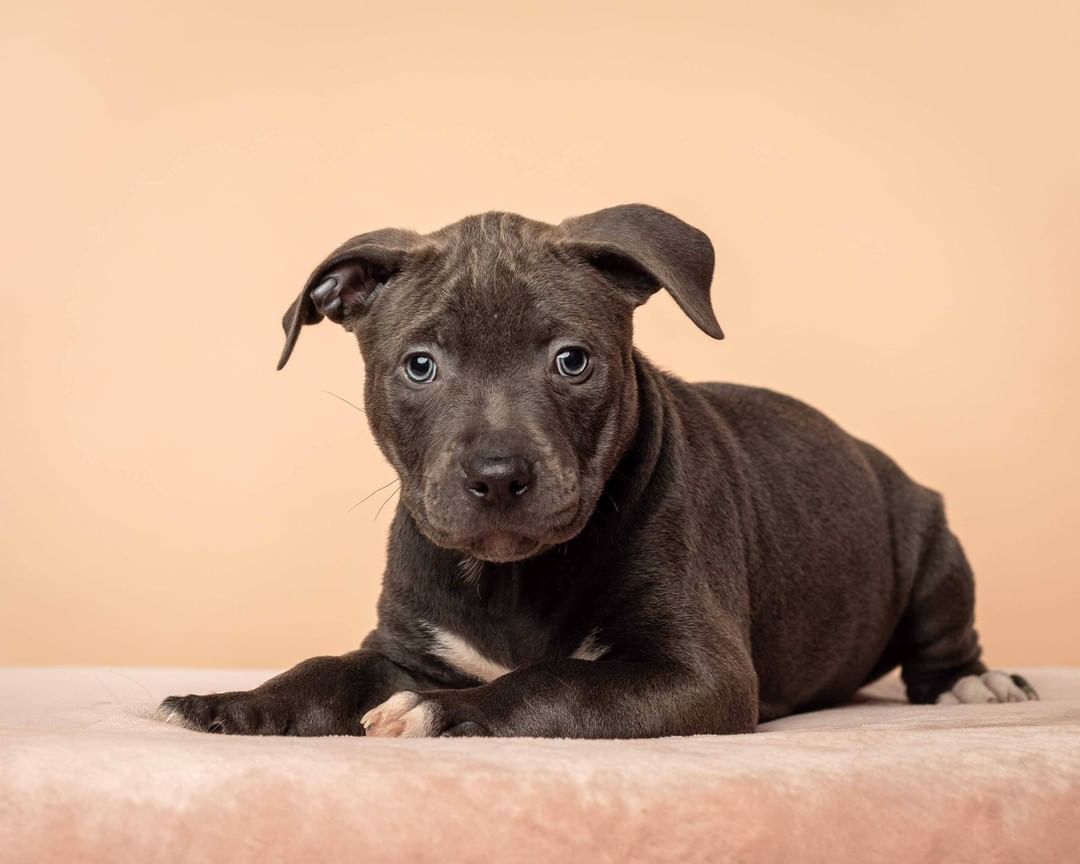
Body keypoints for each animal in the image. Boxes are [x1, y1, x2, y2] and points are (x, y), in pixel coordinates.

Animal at [156, 206, 1032, 738]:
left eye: (571, 361)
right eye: (419, 365)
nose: (497, 475)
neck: (507, 581)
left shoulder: (697, 673)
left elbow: (553, 683)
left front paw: (443, 711)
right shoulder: (404, 645)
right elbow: (324, 669)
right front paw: (233, 703)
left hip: (931, 547)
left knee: (944, 641)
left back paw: (975, 685)